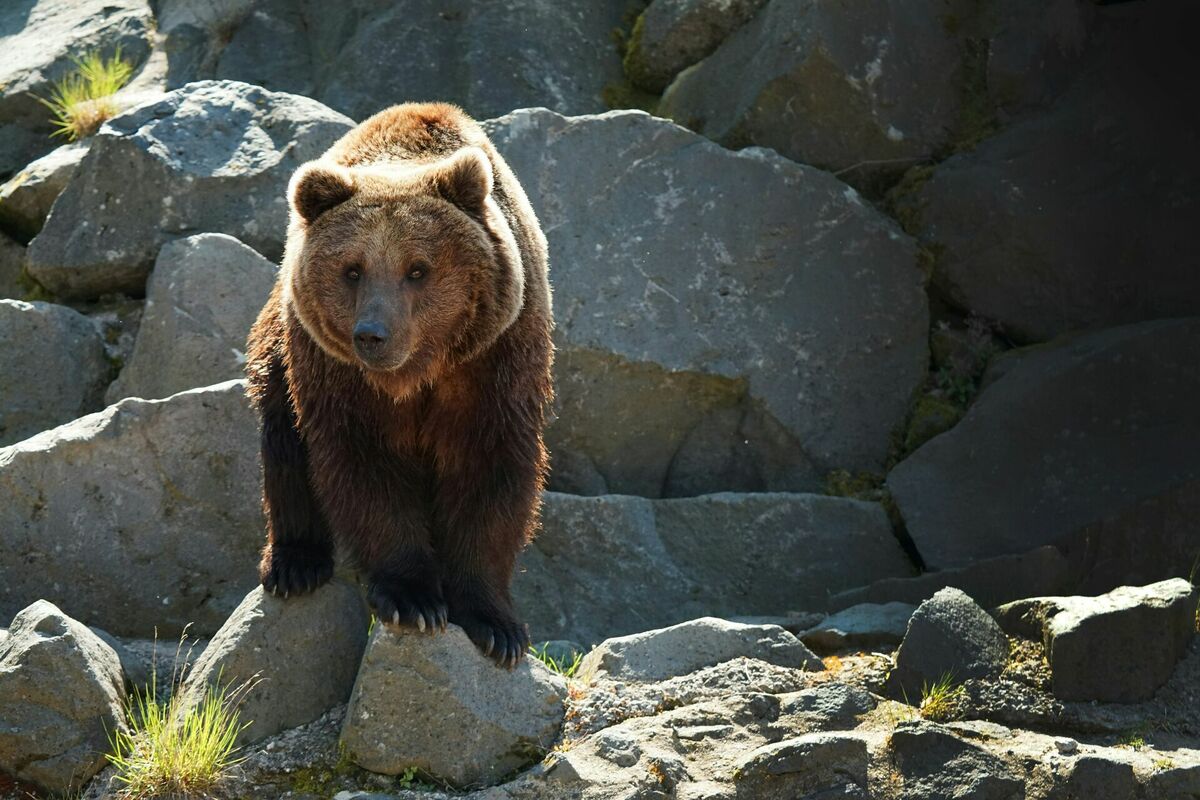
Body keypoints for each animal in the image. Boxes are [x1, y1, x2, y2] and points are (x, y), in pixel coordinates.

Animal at [243, 103, 552, 671]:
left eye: (417, 269)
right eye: (352, 270)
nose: (372, 334)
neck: (416, 373)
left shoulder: (496, 362)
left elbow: (491, 472)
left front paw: (497, 626)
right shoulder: (340, 378)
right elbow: (364, 466)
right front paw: (414, 598)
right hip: (281, 345)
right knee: (283, 437)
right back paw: (295, 563)